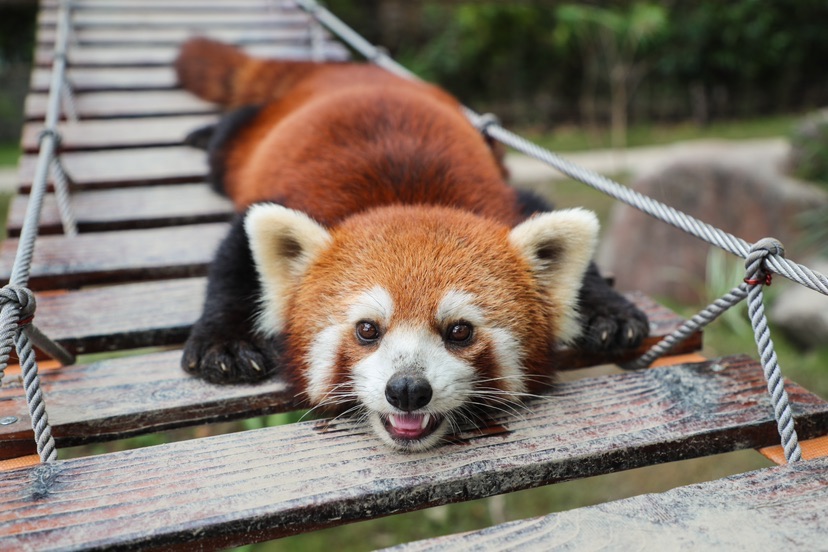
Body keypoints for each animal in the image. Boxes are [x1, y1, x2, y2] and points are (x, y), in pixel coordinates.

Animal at [178, 40, 652, 452]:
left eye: (460, 331)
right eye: (367, 329)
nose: (407, 390)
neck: (406, 199)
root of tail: (346, 72)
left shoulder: (505, 201)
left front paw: (609, 313)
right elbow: (233, 255)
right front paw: (226, 343)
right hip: (252, 140)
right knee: (230, 137)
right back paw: (204, 133)